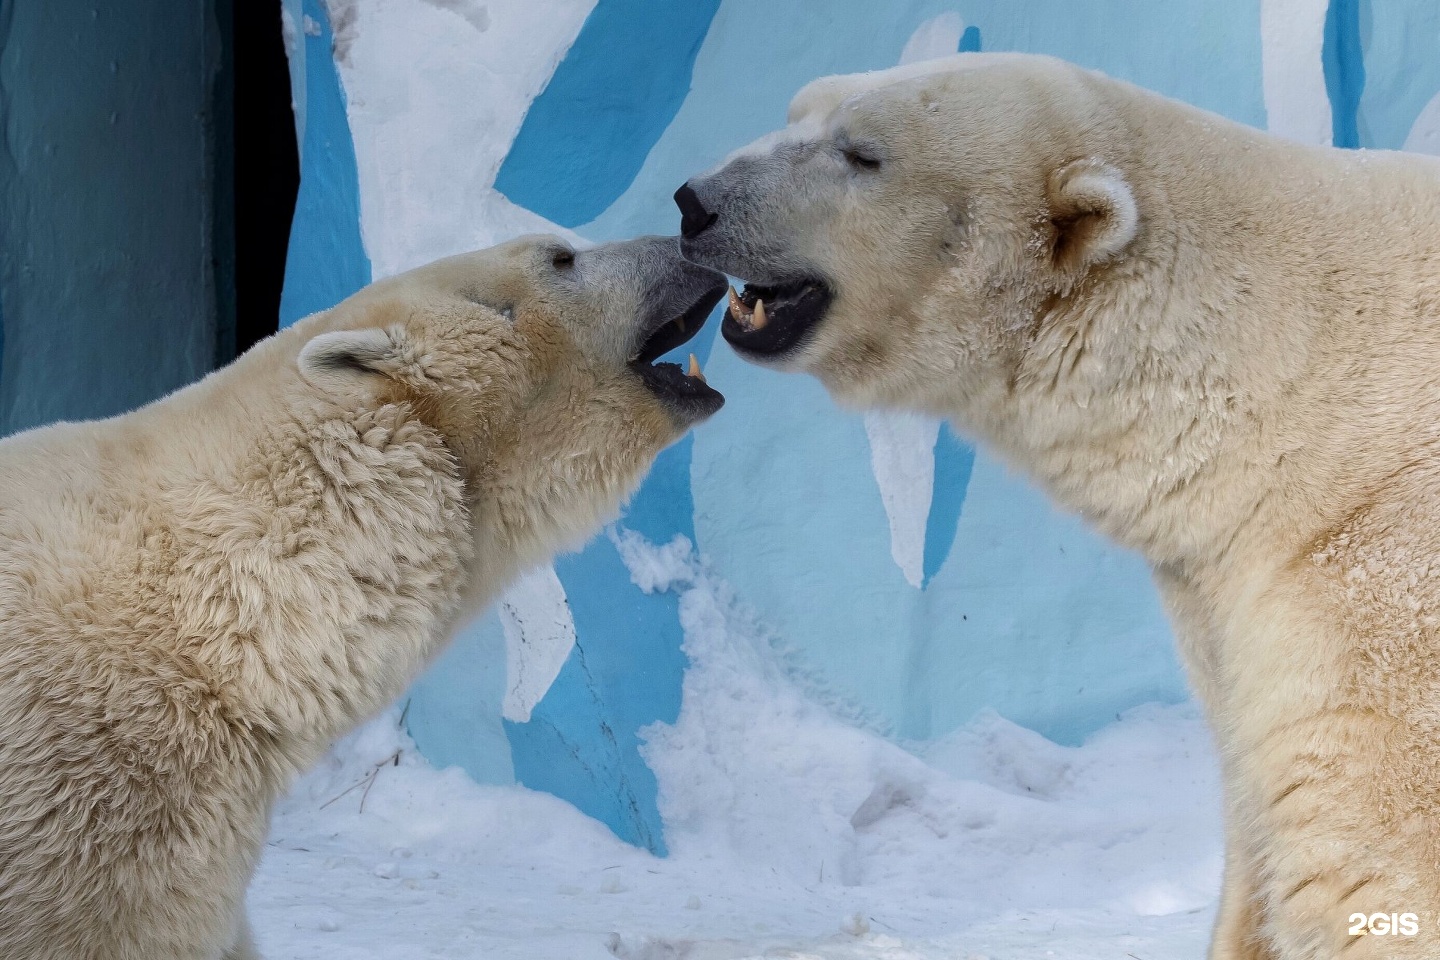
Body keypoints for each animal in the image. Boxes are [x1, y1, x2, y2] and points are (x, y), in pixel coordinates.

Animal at [673, 54, 1440, 960]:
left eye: (863, 154)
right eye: (797, 111)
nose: (695, 202)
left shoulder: (1373, 584)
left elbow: (1364, 847)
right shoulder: (1216, 602)